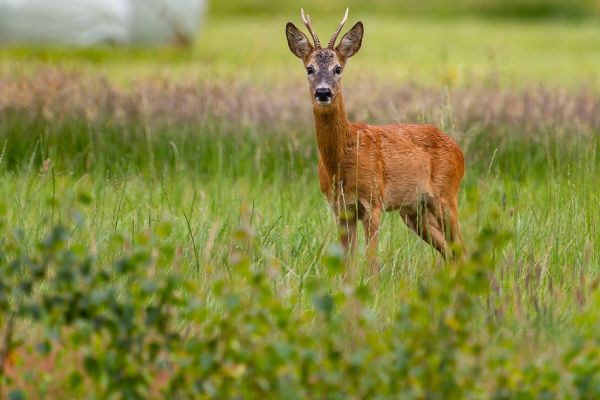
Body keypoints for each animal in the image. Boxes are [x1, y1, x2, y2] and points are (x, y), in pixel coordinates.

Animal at [286, 9, 464, 274]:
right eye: (309, 68)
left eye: (338, 68)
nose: (323, 92)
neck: (342, 160)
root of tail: (459, 150)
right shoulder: (341, 209)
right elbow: (347, 264)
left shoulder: (374, 202)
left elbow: (371, 262)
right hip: (414, 211)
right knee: (450, 251)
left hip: (446, 195)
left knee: (462, 247)